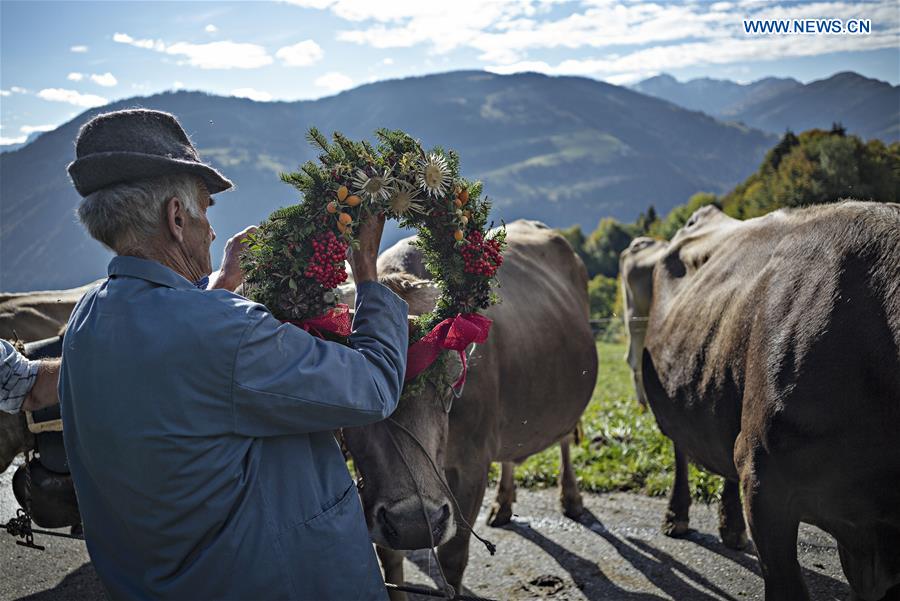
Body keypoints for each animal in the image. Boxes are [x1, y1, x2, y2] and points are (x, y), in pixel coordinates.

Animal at [342, 220, 596, 592]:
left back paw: (572, 499)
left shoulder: (472, 464)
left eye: (452, 379)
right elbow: (390, 559)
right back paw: (503, 505)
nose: (415, 523)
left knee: (564, 438)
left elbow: (452, 558)